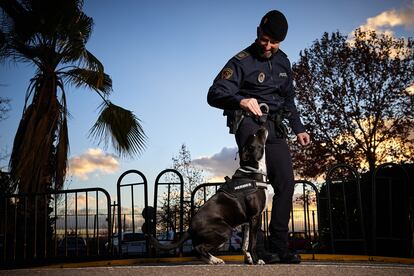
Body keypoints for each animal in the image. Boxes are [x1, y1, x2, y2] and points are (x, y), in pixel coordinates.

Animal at [149, 128, 268, 266]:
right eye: (255, 135)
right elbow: (253, 242)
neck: (251, 171)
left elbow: (245, 244)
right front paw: (257, 260)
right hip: (225, 230)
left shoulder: (247, 222)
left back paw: (212, 259)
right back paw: (214, 259)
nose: (262, 127)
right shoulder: (255, 217)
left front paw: (249, 259)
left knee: (199, 250)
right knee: (199, 248)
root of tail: (190, 228)